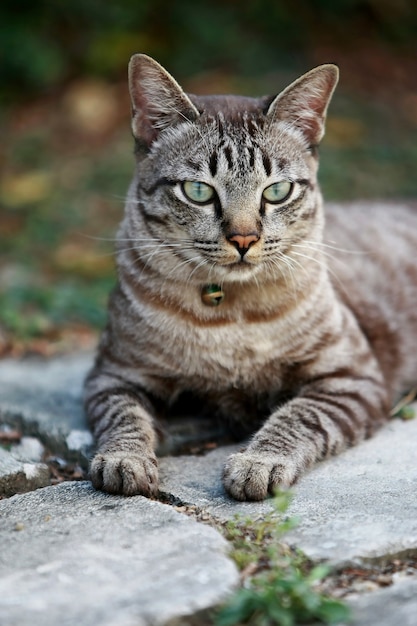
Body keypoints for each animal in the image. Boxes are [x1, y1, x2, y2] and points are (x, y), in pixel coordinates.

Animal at [83, 54, 416, 502]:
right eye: (198, 191)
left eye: (276, 192)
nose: (244, 239)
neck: (229, 313)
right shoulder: (114, 374)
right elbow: (123, 417)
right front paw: (124, 459)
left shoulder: (351, 376)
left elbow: (298, 417)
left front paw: (259, 461)